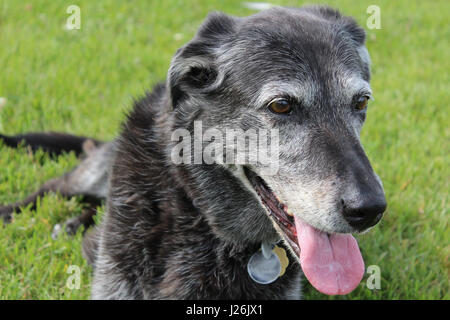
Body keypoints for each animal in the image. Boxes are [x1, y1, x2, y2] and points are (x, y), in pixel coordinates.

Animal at [0, 5, 386, 300]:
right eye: (281, 105)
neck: (201, 217)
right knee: (57, 186)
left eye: (361, 102)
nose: (369, 210)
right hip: (93, 173)